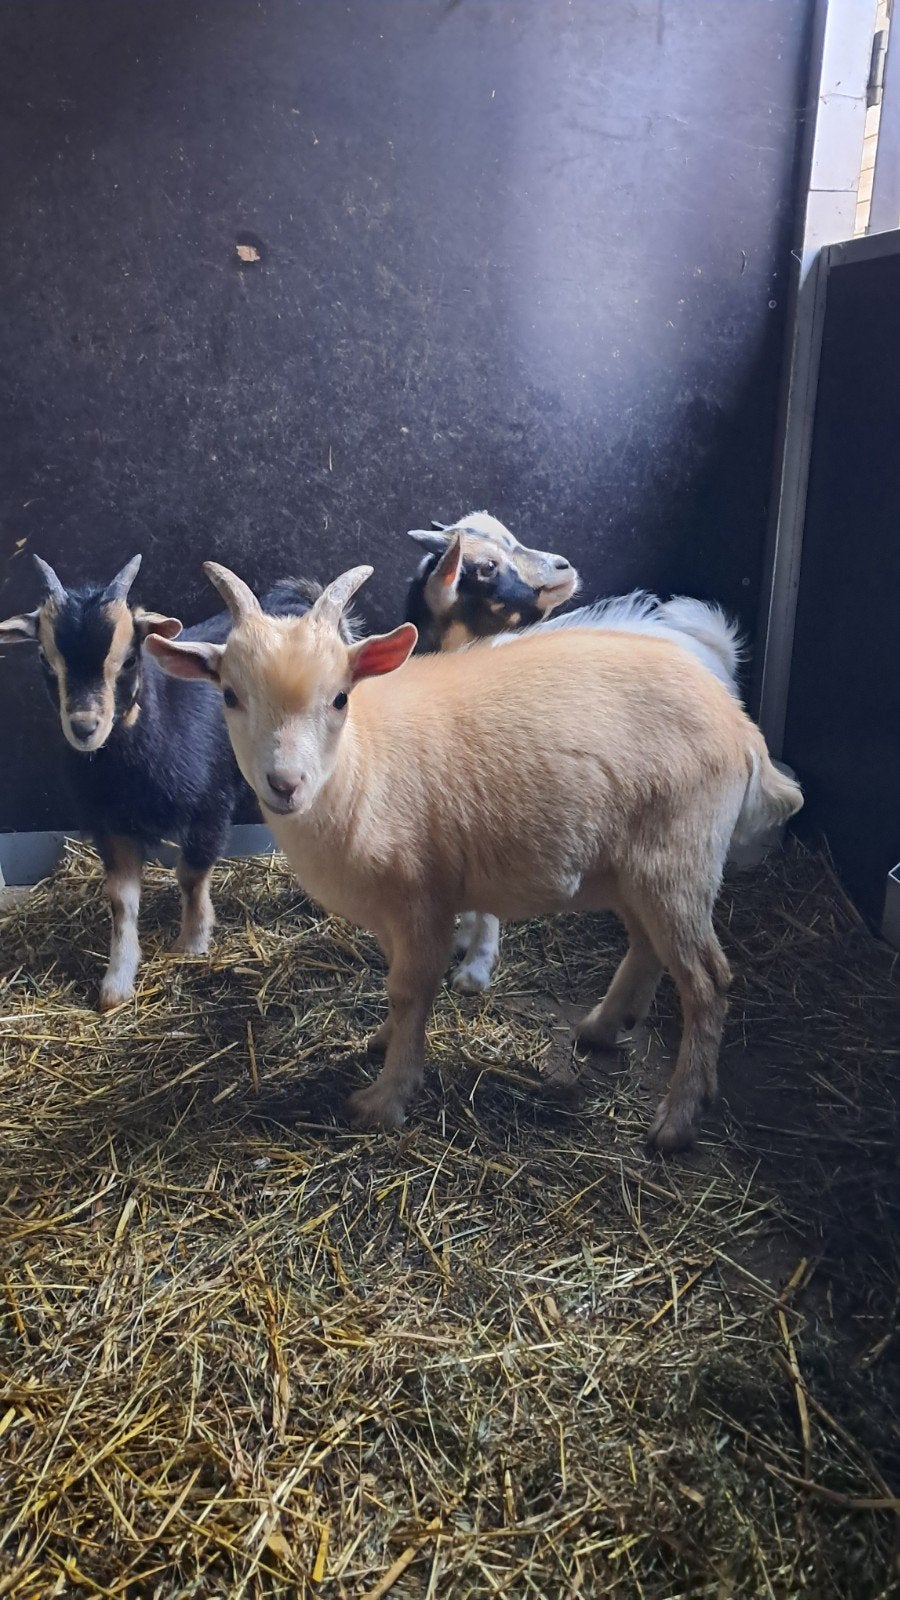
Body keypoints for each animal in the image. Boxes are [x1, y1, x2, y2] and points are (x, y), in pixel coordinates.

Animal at [0, 554, 332, 1011]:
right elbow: (121, 899)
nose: (84, 727)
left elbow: (191, 874)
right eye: (45, 660)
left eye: (129, 659)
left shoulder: (212, 804)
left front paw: (192, 943)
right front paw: (116, 984)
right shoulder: (111, 826)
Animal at [148, 561, 803, 1153]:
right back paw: (603, 1026)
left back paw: (678, 1119)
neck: (362, 764)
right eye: (230, 695)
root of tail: (741, 728)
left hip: (679, 856)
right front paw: (384, 1043)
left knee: (707, 980)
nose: (284, 784)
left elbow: (410, 989)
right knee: (647, 946)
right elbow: (397, 984)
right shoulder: (392, 912)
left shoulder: (422, 896)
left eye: (339, 698)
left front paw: (386, 1099)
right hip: (636, 866)